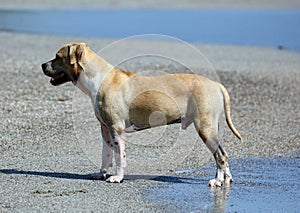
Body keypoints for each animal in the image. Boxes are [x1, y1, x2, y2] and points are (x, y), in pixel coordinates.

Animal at [41, 42, 241, 186]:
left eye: (58, 57)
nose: (43, 64)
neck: (99, 78)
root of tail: (216, 84)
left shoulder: (116, 129)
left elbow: (119, 157)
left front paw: (117, 177)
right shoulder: (105, 129)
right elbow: (106, 155)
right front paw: (101, 173)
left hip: (205, 128)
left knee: (220, 156)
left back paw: (217, 181)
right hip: (211, 128)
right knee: (222, 153)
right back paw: (226, 179)